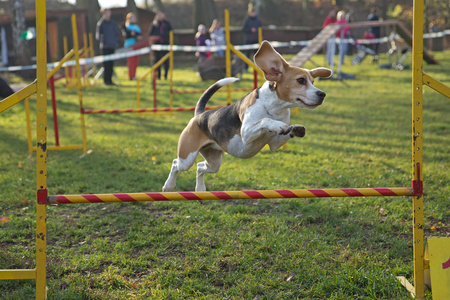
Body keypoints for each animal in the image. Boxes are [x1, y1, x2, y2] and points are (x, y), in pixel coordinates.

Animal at [163, 40, 330, 192]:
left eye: (313, 81)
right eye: (301, 80)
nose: (322, 94)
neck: (274, 107)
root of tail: (199, 115)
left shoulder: (275, 143)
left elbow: (283, 134)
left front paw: (297, 129)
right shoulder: (246, 133)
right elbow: (264, 120)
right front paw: (276, 124)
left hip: (214, 161)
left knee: (199, 167)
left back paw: (200, 189)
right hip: (187, 158)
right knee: (176, 163)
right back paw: (168, 186)